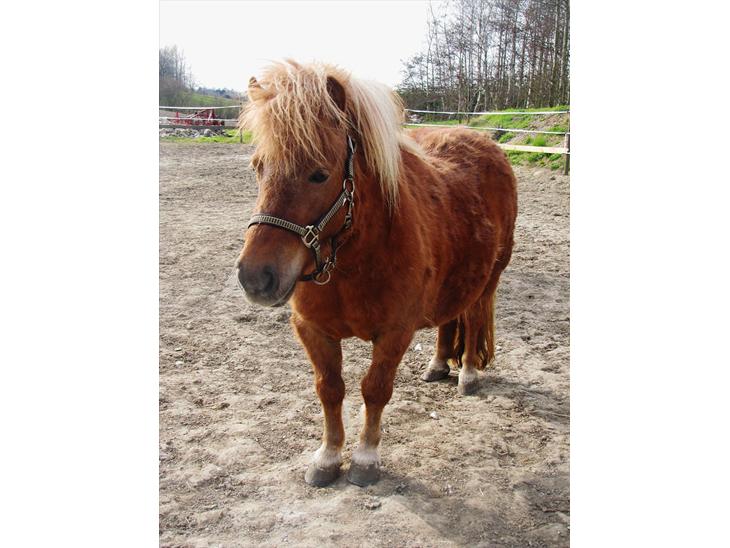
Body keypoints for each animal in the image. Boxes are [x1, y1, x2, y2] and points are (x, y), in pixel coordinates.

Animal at [236, 60, 517, 487]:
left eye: (319, 174)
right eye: (258, 167)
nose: (255, 277)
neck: (353, 261)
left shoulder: (394, 332)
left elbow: (375, 389)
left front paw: (366, 459)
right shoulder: (312, 331)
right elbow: (329, 389)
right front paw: (327, 458)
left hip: (489, 280)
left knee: (471, 319)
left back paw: (467, 373)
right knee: (448, 320)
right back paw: (438, 365)